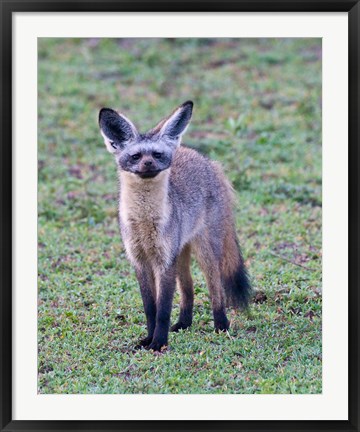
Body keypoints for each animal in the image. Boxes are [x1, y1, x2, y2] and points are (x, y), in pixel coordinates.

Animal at [97, 101, 250, 352]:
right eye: (136, 156)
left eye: (157, 154)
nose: (148, 164)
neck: (145, 222)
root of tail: (208, 162)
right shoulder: (140, 261)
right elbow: (150, 308)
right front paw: (149, 339)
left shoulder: (164, 261)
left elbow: (163, 310)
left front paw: (159, 342)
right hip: (181, 255)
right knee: (189, 289)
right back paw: (184, 323)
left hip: (205, 252)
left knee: (215, 288)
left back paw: (221, 325)